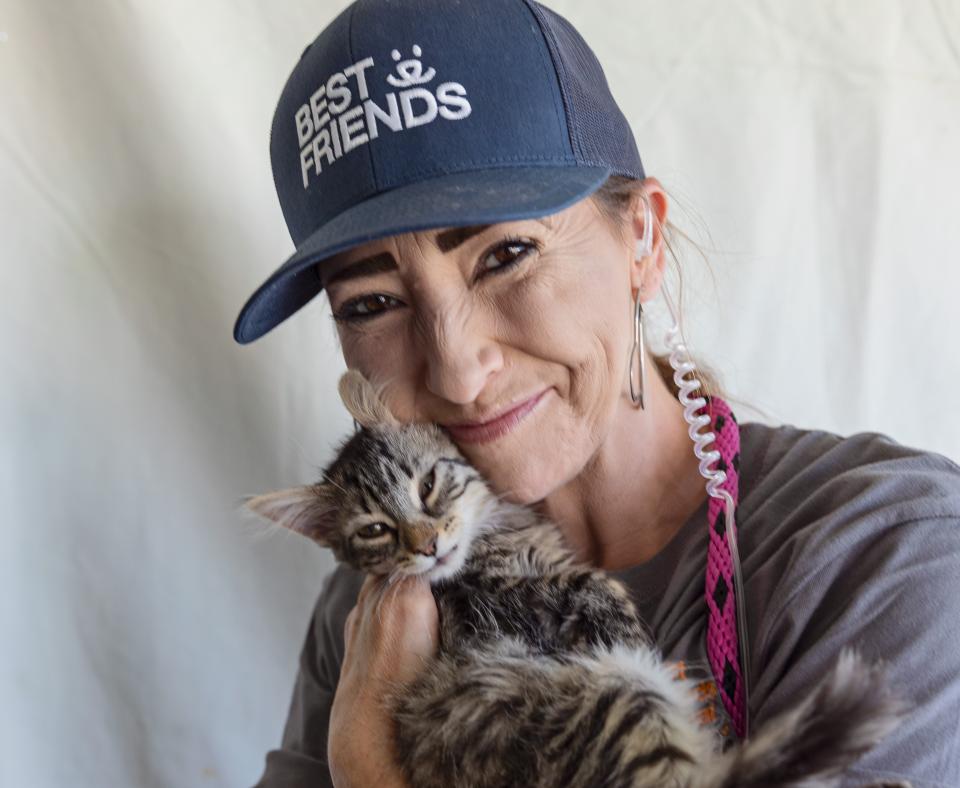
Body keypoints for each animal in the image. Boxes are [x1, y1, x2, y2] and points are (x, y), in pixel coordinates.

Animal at [246, 370, 908, 788]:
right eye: (377, 531)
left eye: (427, 486)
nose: (427, 545)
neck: (496, 536)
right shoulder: (502, 606)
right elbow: (599, 585)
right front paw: (629, 628)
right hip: (613, 697)